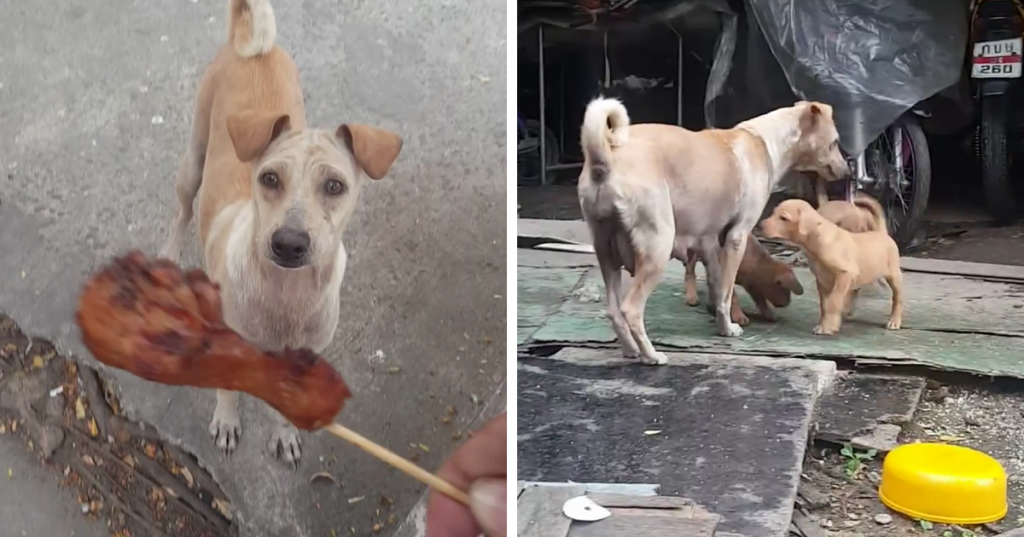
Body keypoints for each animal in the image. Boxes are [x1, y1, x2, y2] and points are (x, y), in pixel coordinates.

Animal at [157, 0, 401, 463]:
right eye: (269, 179)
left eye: (335, 186)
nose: (289, 244)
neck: (287, 294)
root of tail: (256, 50)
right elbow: (228, 389)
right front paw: (227, 420)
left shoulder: (305, 362)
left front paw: (285, 433)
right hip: (191, 164)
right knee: (180, 213)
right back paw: (169, 255)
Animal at [761, 194, 905, 334]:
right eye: (773, 213)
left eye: (783, 218)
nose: (760, 225)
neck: (818, 241)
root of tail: (881, 233)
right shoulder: (822, 281)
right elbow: (825, 306)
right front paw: (826, 325)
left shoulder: (845, 274)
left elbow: (833, 302)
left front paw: (828, 327)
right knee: (855, 291)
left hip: (894, 276)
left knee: (897, 299)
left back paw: (894, 321)